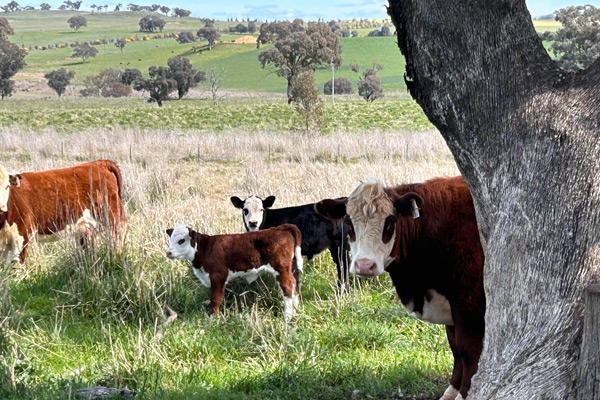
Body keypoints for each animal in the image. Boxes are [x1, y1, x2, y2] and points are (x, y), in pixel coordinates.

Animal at [165, 223, 302, 320]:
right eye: (170, 240)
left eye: (181, 240)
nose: (168, 252)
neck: (204, 249)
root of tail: (281, 228)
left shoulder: (218, 276)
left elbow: (215, 298)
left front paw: (214, 318)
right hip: (290, 268)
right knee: (294, 284)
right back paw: (295, 310)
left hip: (281, 269)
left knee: (287, 287)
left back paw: (287, 316)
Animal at [316, 177, 486, 400]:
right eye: (348, 223)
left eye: (390, 223)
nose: (364, 265)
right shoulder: (449, 306)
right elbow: (455, 349)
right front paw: (451, 392)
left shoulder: (469, 305)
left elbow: (468, 353)